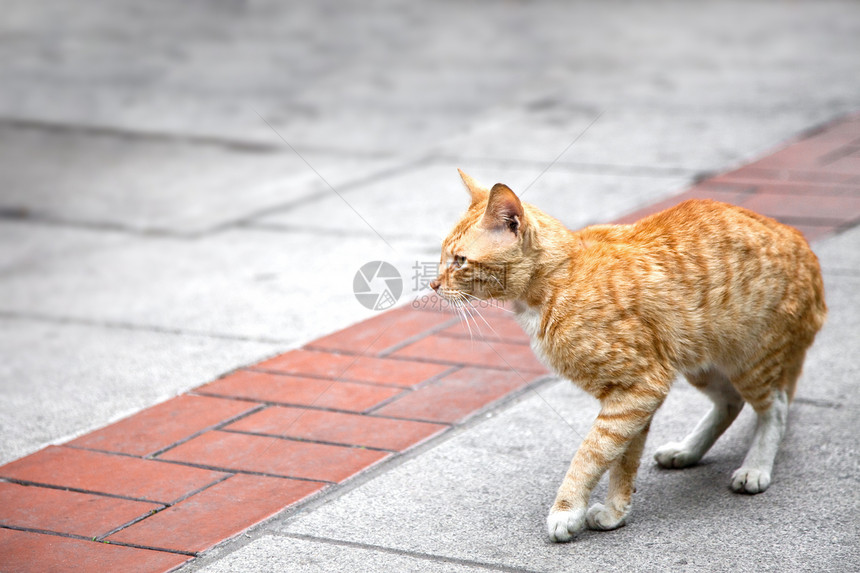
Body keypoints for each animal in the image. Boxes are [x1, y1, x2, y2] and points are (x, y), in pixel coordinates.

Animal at [430, 170, 828, 540]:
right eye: (443, 258)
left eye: (460, 260)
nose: (433, 285)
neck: (559, 280)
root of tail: (799, 238)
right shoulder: (632, 398)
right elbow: (621, 459)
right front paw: (616, 512)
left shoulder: (639, 388)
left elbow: (592, 453)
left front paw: (567, 510)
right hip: (700, 362)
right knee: (731, 402)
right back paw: (687, 450)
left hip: (750, 359)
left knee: (774, 408)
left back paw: (756, 466)